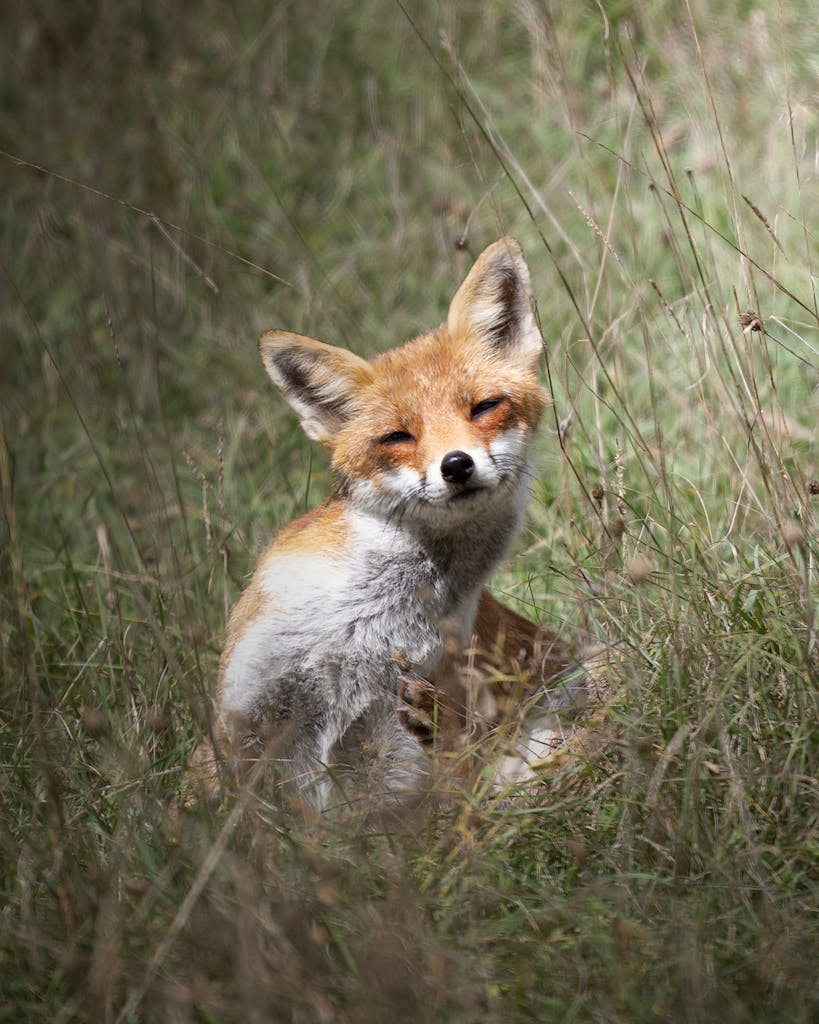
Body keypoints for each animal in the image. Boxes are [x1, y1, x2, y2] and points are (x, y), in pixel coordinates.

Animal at [192, 237, 587, 810]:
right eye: (398, 437)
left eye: (484, 407)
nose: (456, 465)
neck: (363, 627)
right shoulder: (250, 720)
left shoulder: (392, 748)